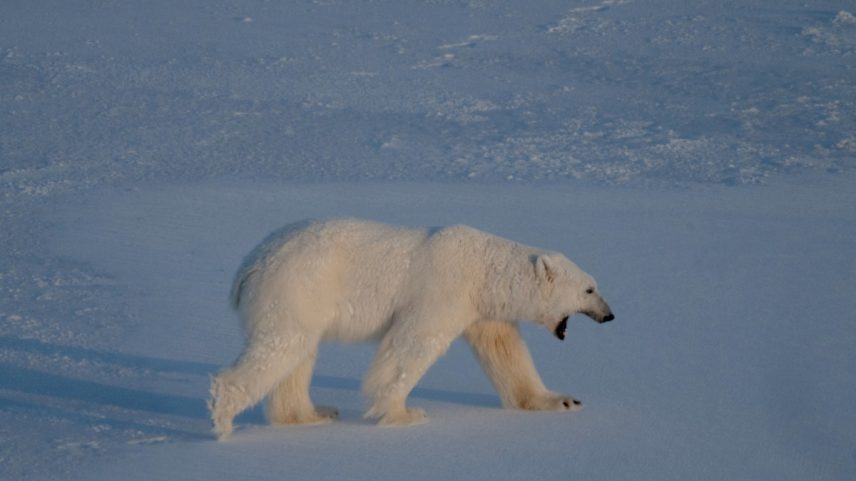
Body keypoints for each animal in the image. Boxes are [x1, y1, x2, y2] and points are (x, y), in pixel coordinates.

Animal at [209, 218, 613, 439]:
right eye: (589, 289)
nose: (610, 315)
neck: (484, 270)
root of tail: (249, 265)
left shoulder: (483, 309)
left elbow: (505, 351)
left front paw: (562, 401)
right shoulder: (444, 289)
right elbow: (413, 343)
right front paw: (404, 413)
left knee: (298, 355)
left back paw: (311, 414)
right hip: (298, 286)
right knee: (281, 346)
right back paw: (223, 418)